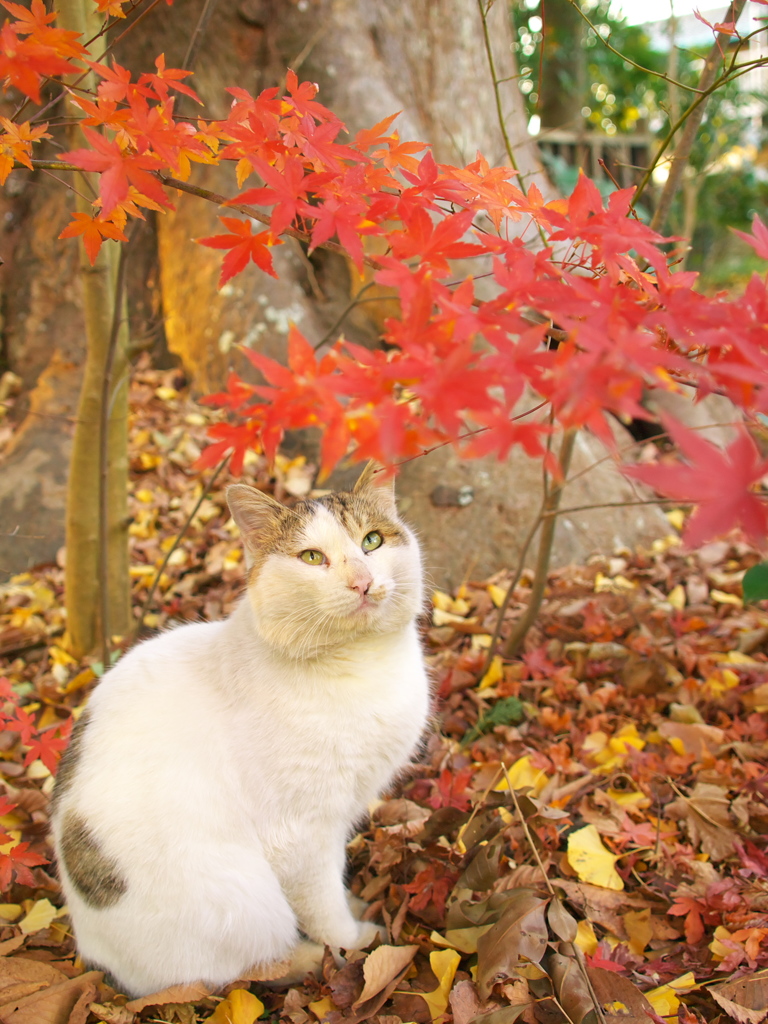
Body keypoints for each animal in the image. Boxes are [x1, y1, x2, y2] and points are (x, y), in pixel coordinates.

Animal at [50, 468, 430, 995]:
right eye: (312, 557)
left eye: (371, 541)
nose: (363, 581)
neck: (359, 663)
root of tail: (90, 950)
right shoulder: (301, 835)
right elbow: (323, 907)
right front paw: (351, 942)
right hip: (243, 899)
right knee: (239, 971)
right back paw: (305, 959)